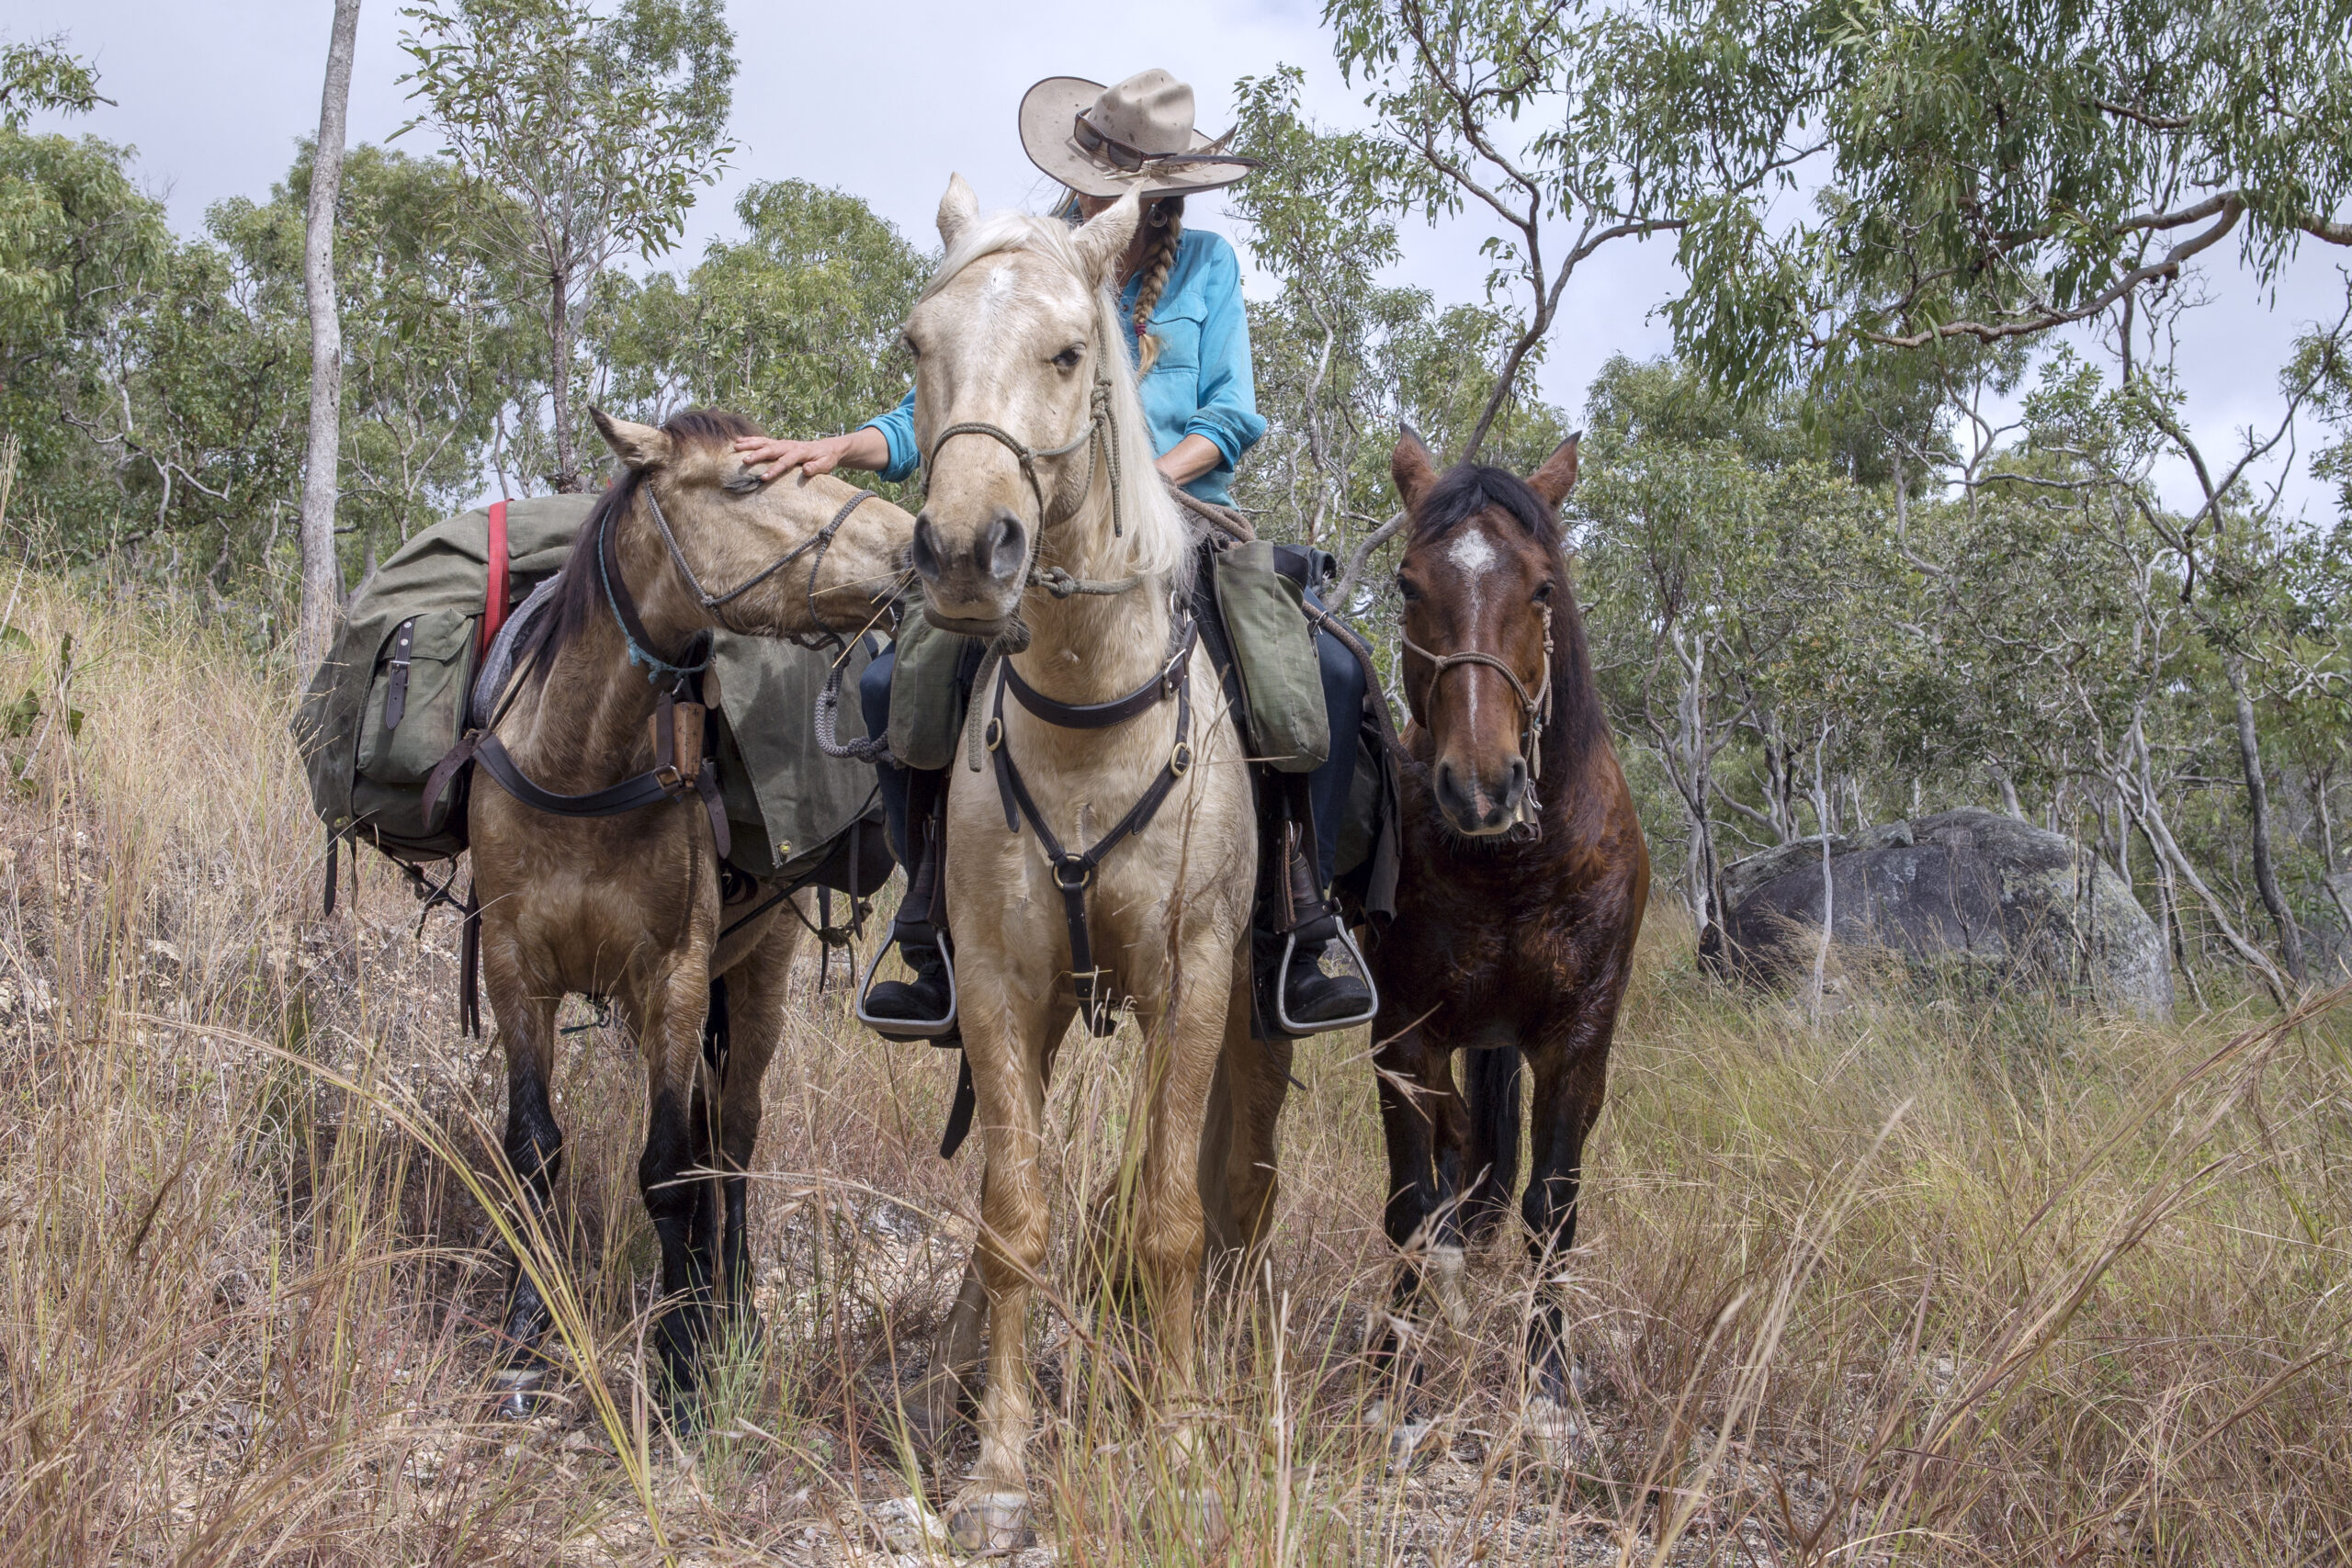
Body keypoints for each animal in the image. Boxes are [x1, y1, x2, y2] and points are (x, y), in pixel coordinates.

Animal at [442, 411, 917, 1419]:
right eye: (745, 481)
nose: (920, 544)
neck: (582, 761)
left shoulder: (674, 975)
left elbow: (670, 1167)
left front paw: (684, 1360)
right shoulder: (515, 970)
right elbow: (533, 1151)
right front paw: (526, 1333)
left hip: (758, 975)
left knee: (730, 1140)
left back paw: (730, 1304)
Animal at [893, 177, 1288, 1551]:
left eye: (1070, 353)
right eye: (918, 344)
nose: (968, 551)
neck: (1085, 713)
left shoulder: (1194, 977)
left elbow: (1168, 1214)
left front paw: (1181, 1441)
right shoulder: (1002, 983)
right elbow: (1014, 1216)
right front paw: (999, 1465)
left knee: (1236, 1183)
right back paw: (953, 1363)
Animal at [1374, 425, 1646, 1457]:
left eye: (1540, 587)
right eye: (1407, 583)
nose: (1481, 786)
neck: (1511, 868)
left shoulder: (1576, 1043)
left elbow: (1550, 1208)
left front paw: (1550, 1390)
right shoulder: (1405, 1037)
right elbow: (1413, 1202)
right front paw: (1393, 1381)